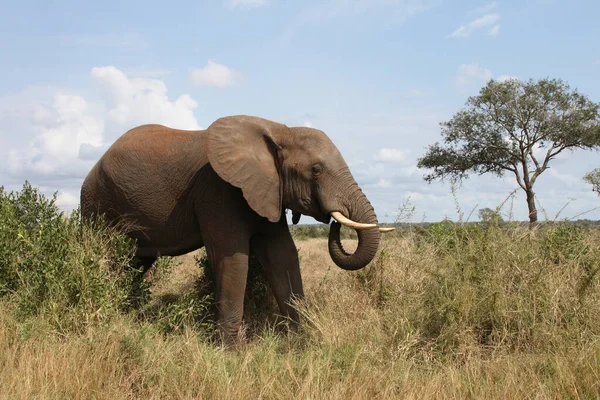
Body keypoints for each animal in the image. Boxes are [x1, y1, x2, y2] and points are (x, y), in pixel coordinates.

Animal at [82, 114, 394, 342]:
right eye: (316, 170)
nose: (334, 221)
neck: (278, 130)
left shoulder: (268, 189)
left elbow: (282, 255)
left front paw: (298, 339)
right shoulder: (218, 189)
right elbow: (233, 260)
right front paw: (230, 351)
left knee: (136, 263)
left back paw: (129, 315)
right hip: (98, 203)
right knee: (111, 258)